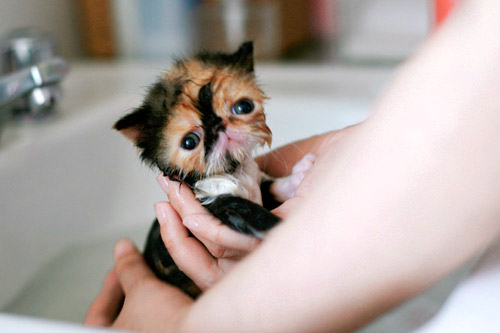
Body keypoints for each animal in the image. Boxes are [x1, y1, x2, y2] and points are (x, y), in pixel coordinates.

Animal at [115, 40, 314, 296]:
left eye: (244, 106)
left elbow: (271, 187)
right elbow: (249, 211)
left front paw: (297, 176)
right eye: (190, 142)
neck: (233, 170)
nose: (219, 125)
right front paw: (277, 226)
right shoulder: (215, 202)